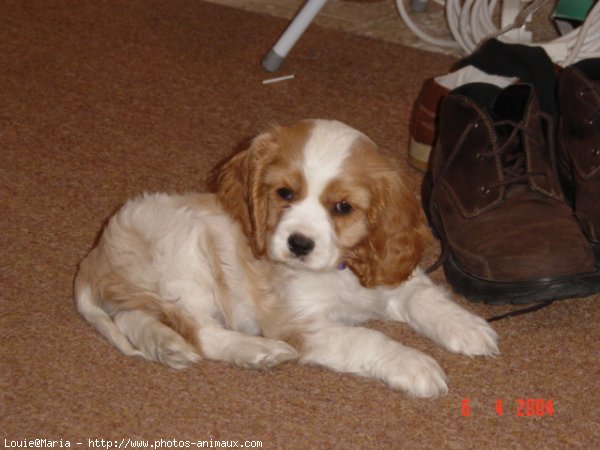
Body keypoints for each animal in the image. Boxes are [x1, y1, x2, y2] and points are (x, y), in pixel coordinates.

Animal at [75, 118, 496, 398]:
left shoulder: (387, 275)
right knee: (204, 334)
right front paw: (415, 364)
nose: (298, 244)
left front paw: (468, 327)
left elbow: (424, 296)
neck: (339, 269)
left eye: (342, 207)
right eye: (285, 194)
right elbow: (368, 337)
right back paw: (260, 352)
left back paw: (167, 344)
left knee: (132, 317)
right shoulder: (300, 323)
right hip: (183, 266)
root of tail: (96, 252)